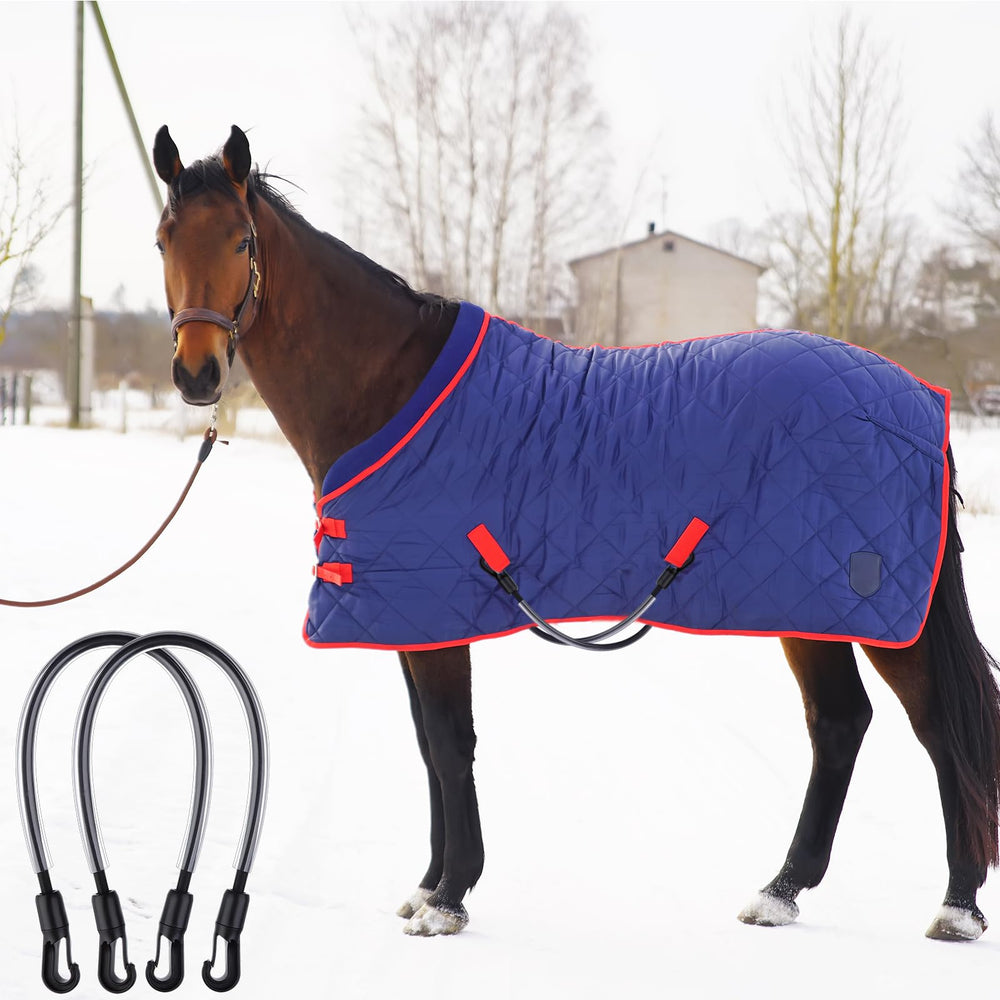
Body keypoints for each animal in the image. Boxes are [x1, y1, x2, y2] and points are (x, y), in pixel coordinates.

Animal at [151, 123, 1000, 941]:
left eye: (241, 241)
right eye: (164, 239)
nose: (196, 373)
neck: (389, 389)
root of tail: (919, 398)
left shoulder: (433, 612)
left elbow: (451, 745)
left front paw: (449, 900)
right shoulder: (409, 616)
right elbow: (430, 746)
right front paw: (430, 885)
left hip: (874, 612)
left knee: (937, 729)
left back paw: (957, 906)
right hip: (808, 606)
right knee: (840, 724)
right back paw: (780, 891)